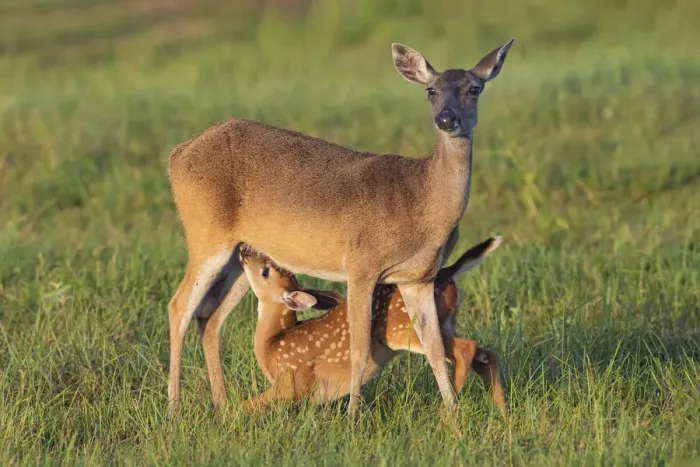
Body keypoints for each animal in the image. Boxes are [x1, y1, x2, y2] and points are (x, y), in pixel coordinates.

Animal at [239, 237, 505, 411]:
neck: (273, 342)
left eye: (265, 271)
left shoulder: (292, 382)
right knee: (485, 353)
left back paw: (450, 408)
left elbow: (245, 405)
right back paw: (501, 410)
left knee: (465, 348)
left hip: (402, 330)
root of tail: (448, 273)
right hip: (446, 322)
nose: (244, 250)